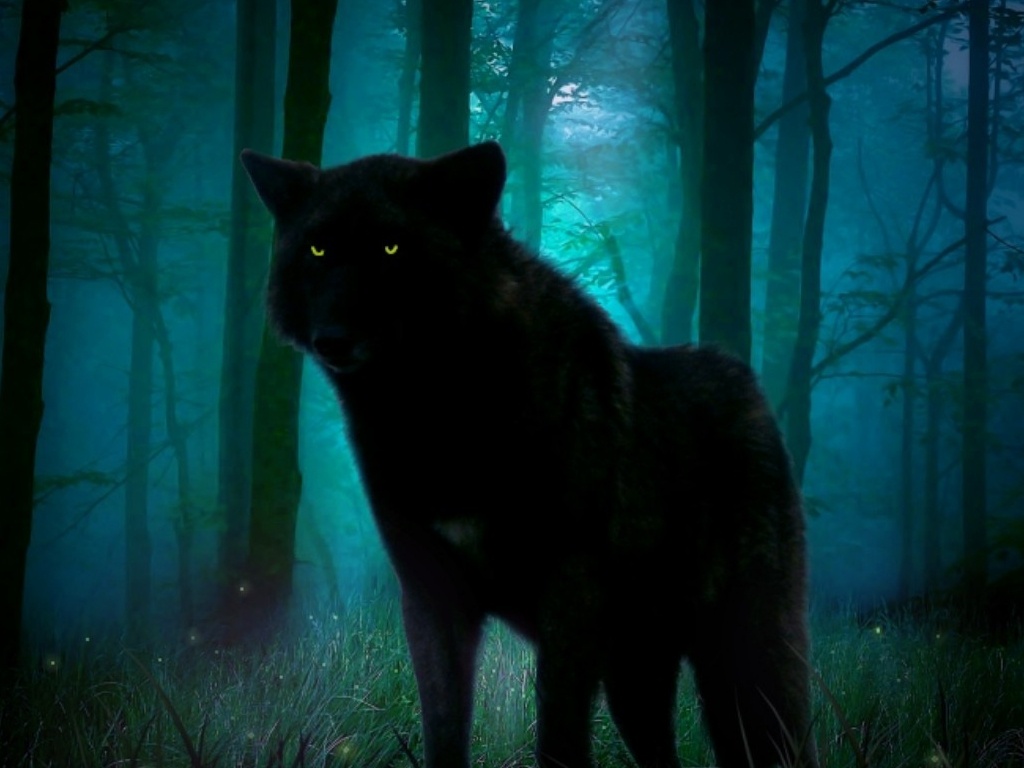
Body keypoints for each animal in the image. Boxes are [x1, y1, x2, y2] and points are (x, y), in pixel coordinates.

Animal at [240, 141, 818, 768]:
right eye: (318, 248)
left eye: (392, 248)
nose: (333, 339)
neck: (441, 415)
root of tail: (752, 387)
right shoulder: (432, 598)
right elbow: (444, 734)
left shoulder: (569, 597)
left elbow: (557, 737)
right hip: (636, 680)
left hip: (746, 665)